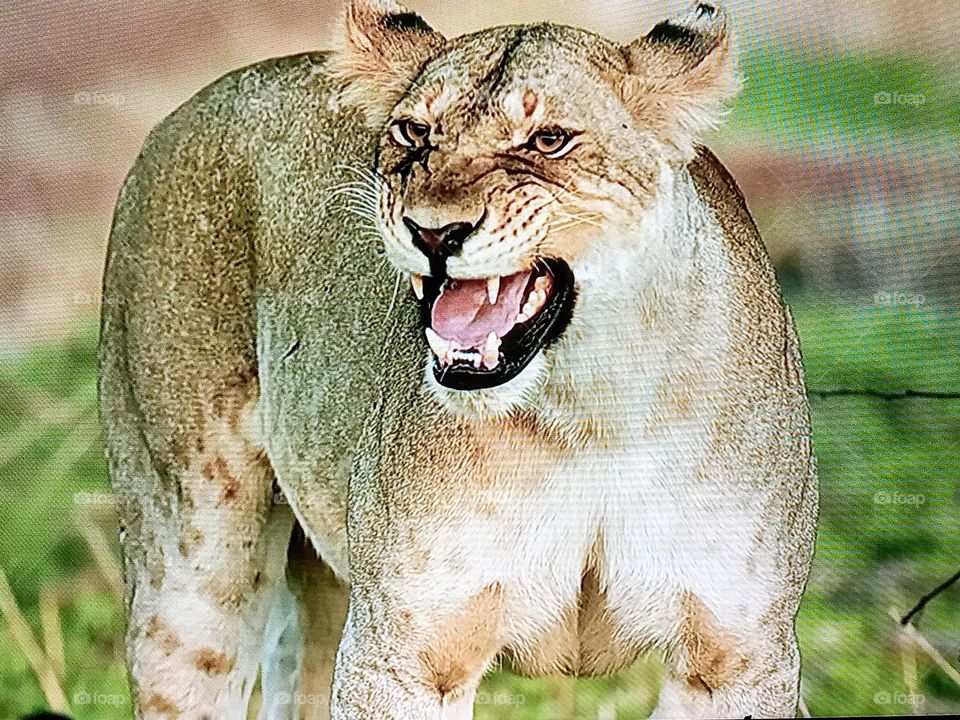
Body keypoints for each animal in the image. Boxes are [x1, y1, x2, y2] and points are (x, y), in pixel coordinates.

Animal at [98, 1, 818, 718]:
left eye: (548, 140)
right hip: (190, 558)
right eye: (414, 132)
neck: (591, 410)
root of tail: (192, 104)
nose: (433, 233)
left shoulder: (737, 655)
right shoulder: (407, 650)